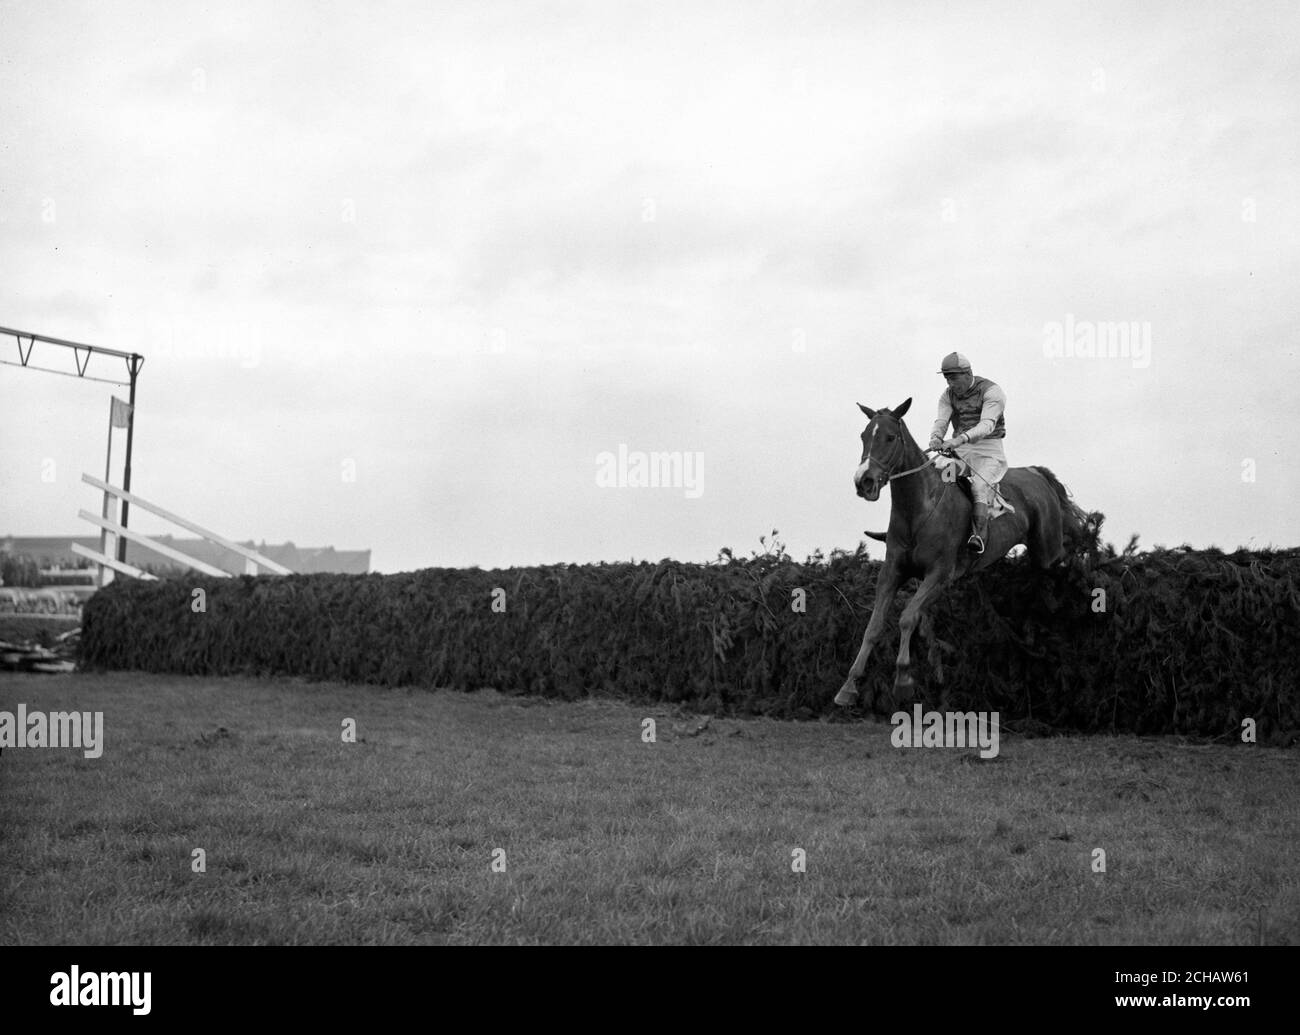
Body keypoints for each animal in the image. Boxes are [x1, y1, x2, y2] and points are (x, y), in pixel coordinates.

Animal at [832, 397, 1086, 712]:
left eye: (889, 437)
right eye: (864, 436)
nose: (863, 481)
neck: (920, 508)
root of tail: (1035, 472)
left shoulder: (939, 575)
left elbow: (907, 617)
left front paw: (903, 680)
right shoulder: (892, 573)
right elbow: (874, 626)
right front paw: (848, 687)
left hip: (1047, 549)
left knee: (1065, 554)